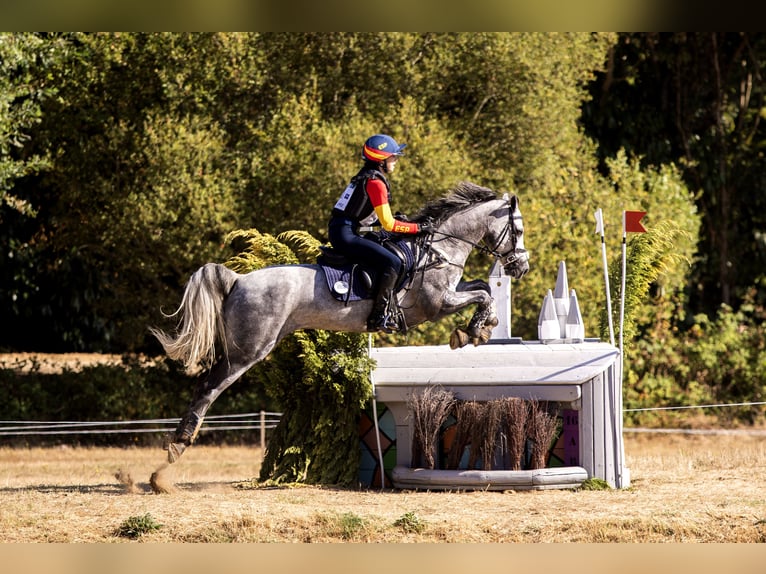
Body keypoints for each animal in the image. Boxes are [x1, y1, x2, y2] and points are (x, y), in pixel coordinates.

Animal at [151, 181, 529, 463]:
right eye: (518, 229)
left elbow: (483, 288)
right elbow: (482, 294)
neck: (441, 247)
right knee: (208, 387)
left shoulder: (451, 293)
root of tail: (238, 280)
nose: (521, 267)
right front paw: (474, 331)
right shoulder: (437, 303)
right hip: (248, 350)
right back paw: (177, 446)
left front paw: (480, 328)